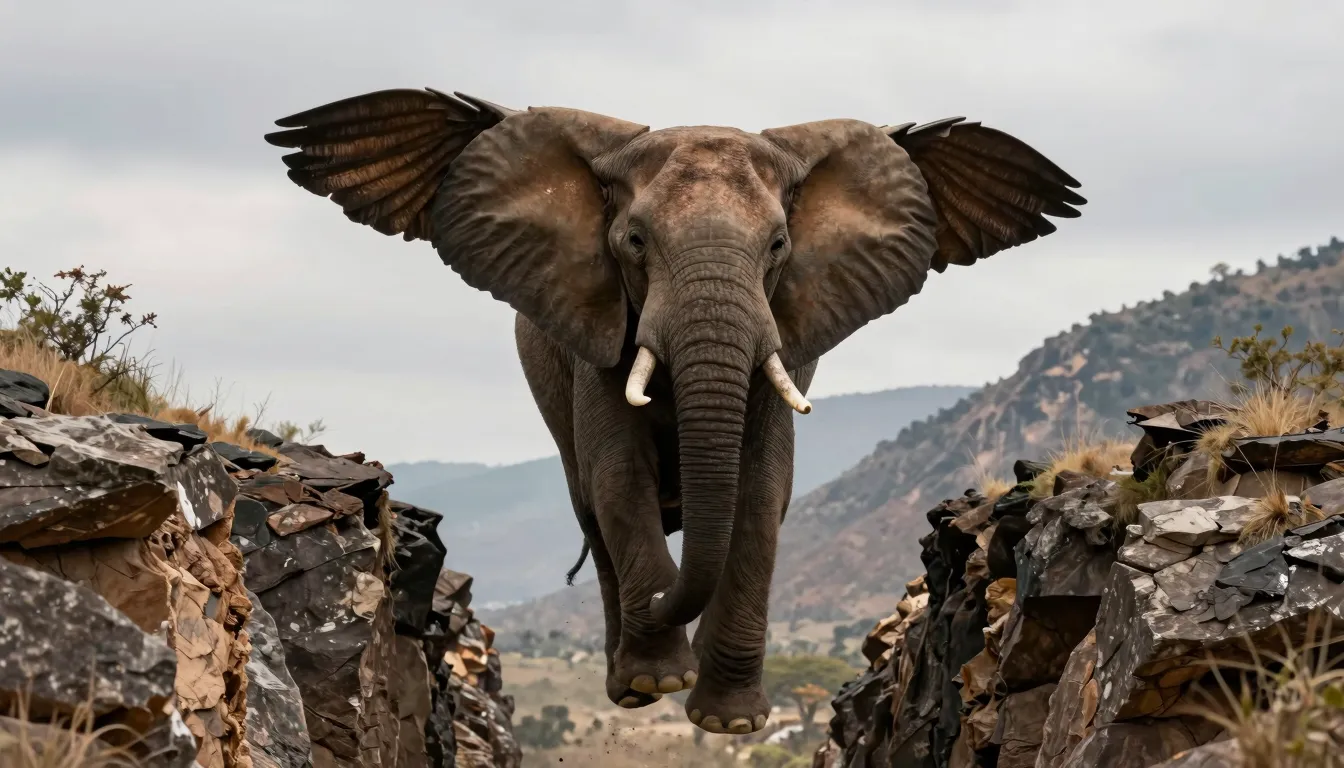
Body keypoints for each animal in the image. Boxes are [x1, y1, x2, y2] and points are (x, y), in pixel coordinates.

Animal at [264, 88, 1084, 734]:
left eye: (779, 245)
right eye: (633, 240)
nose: (662, 598)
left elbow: (760, 494)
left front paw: (729, 722)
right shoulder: (596, 337)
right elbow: (617, 477)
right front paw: (661, 679)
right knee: (592, 508)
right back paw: (632, 684)